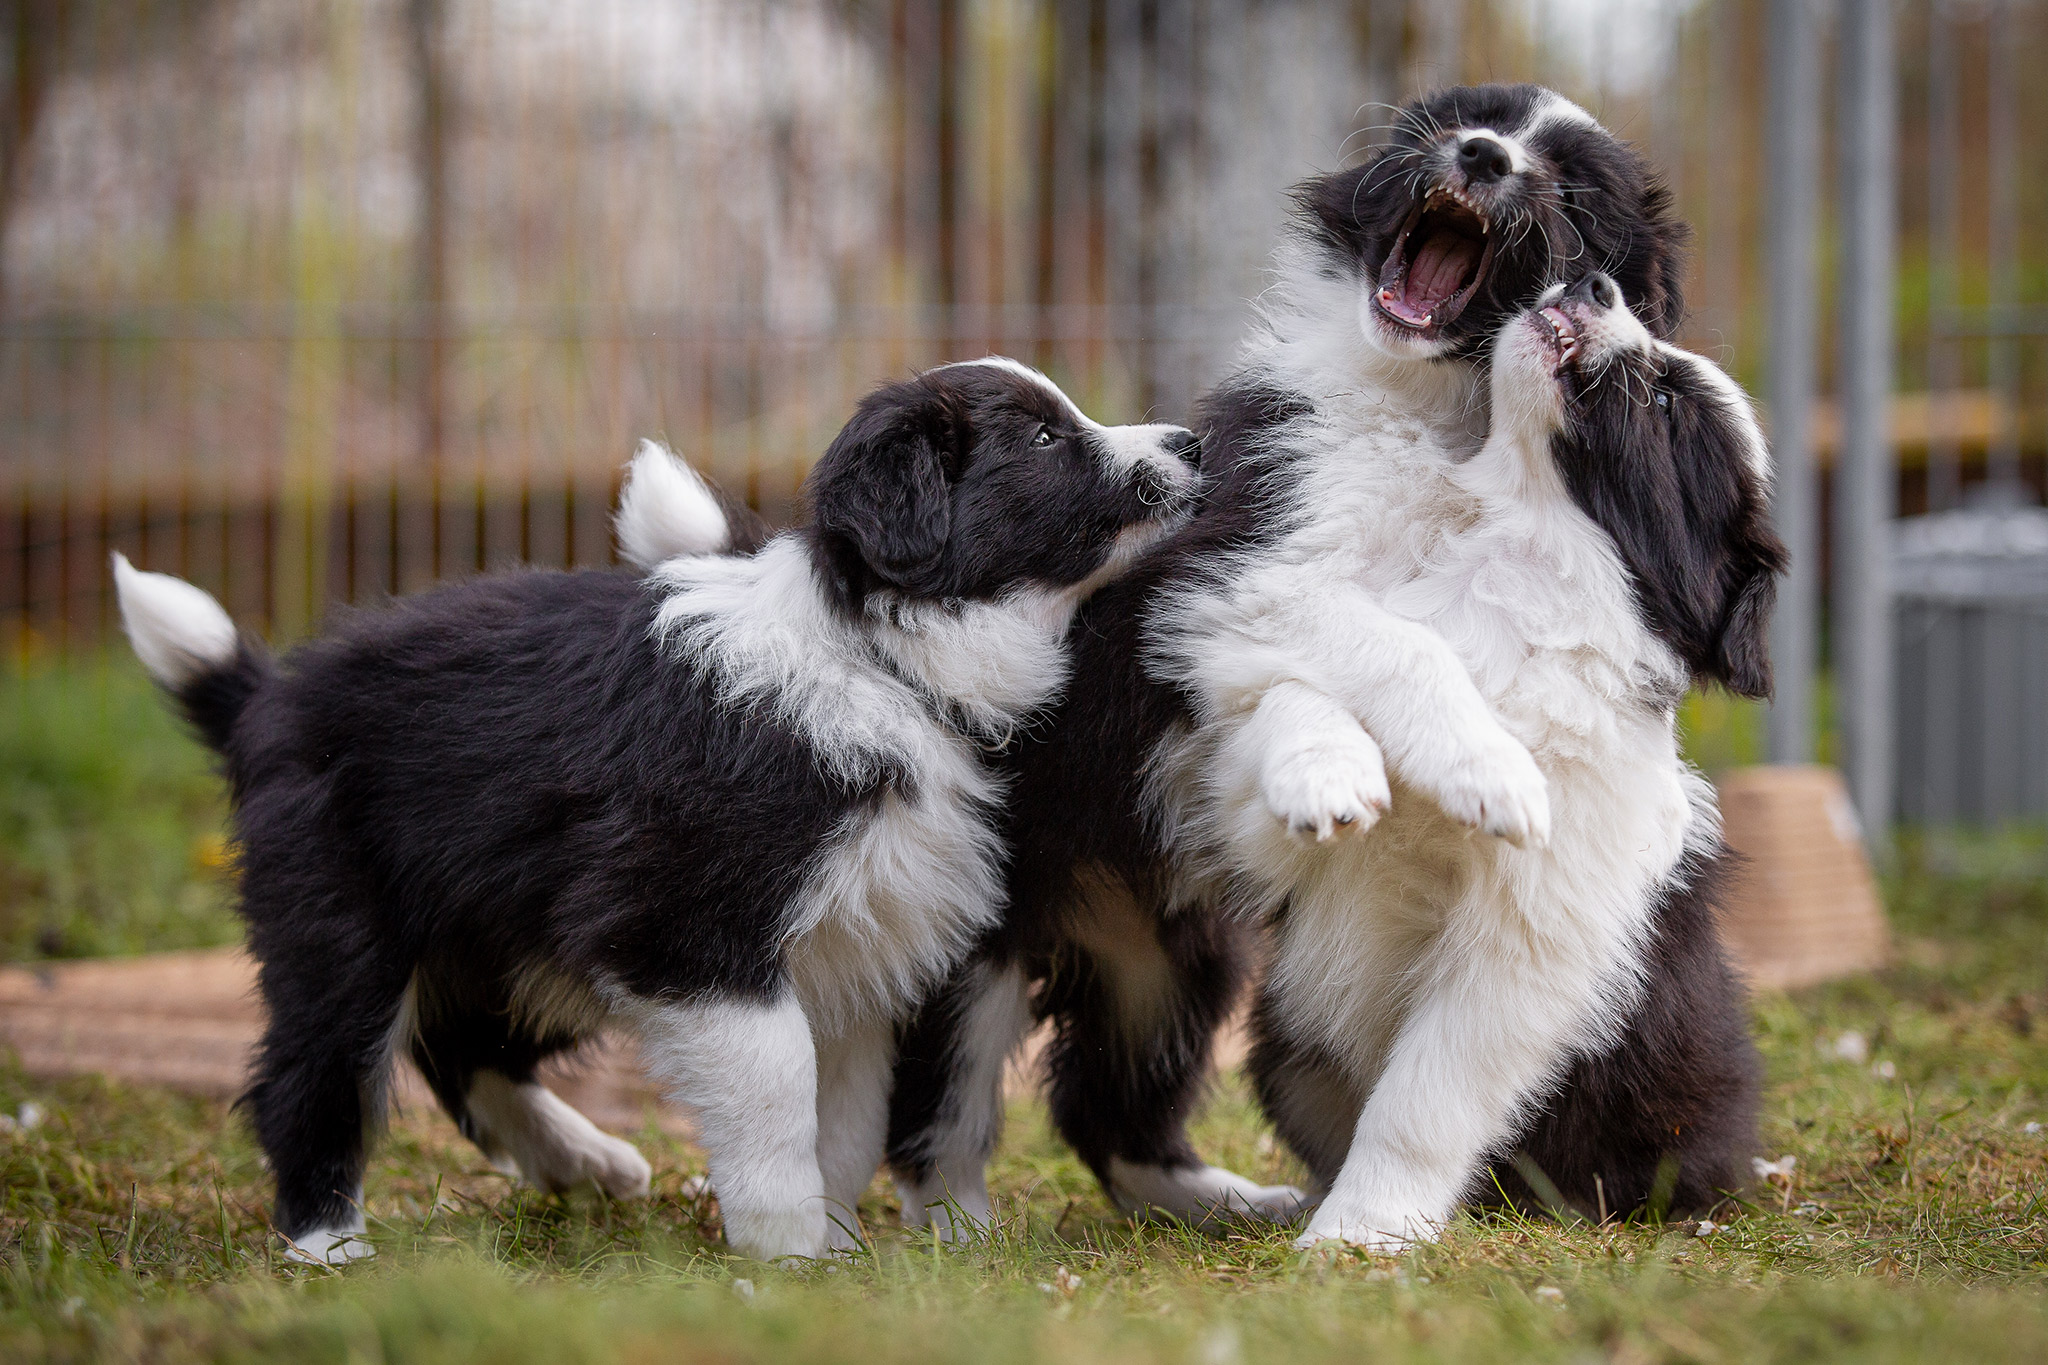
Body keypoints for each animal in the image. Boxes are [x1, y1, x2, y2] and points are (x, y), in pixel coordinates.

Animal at [112, 358, 1196, 1268]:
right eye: (1043, 438)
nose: (1188, 442)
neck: (880, 660)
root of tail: (267, 696)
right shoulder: (683, 927)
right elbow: (778, 1084)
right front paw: (789, 1251)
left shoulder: (857, 950)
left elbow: (844, 1116)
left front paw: (839, 1247)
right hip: (344, 914)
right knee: (317, 1070)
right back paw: (327, 1245)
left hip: (516, 927)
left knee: (463, 1043)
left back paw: (580, 1159)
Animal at [888, 85, 1703, 1236]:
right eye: (1472, 117)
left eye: (1576, 194)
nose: (1480, 156)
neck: (1446, 419)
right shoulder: (1233, 569)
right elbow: (1390, 640)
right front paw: (1479, 776)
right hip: (981, 919)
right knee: (939, 1096)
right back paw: (953, 1227)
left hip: (1166, 957)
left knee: (1109, 1101)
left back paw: (1218, 1200)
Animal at [1171, 282, 1794, 1252]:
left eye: (1662, 402)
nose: (1595, 285)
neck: (1498, 570)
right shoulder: (1258, 819)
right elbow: (1303, 691)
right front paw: (1336, 775)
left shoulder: (1524, 943)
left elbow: (1421, 1100)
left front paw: (1362, 1237)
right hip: (1289, 1046)